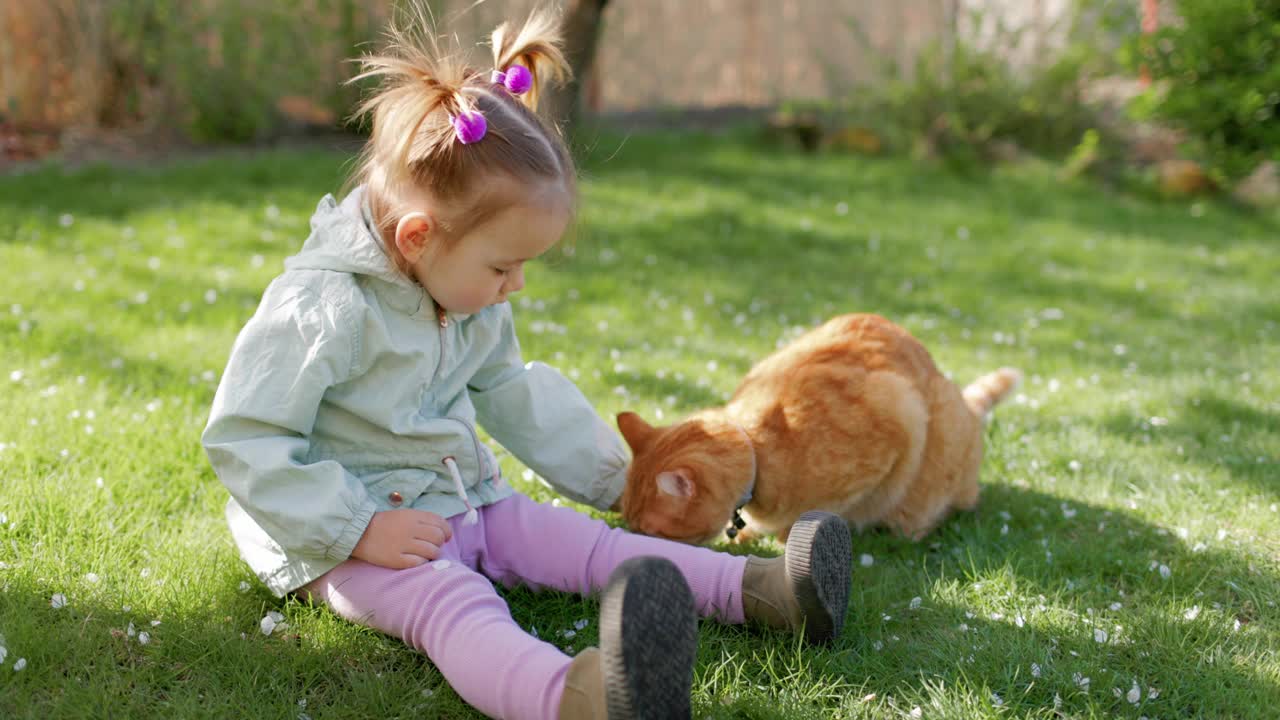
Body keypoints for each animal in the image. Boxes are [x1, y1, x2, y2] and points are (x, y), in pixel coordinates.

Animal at [614, 311, 1024, 540]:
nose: (635, 537)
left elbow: (810, 518)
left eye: (650, 531)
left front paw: (782, 538)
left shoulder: (898, 419)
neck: (759, 451)